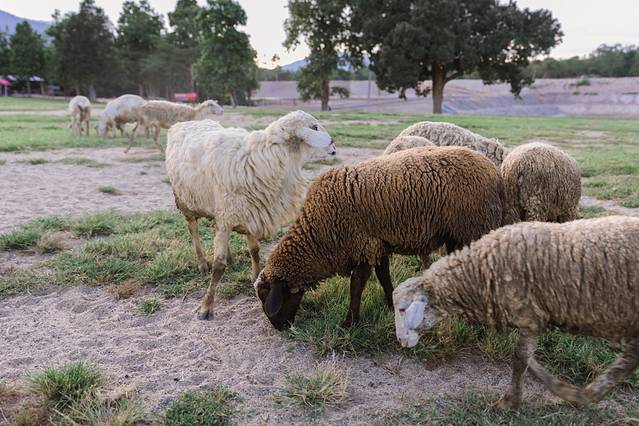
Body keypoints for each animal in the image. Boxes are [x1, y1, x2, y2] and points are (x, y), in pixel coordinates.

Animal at [165, 111, 336, 320]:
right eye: (314, 127)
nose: (333, 146)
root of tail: (189, 122)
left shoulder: (253, 213)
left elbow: (254, 250)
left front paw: (255, 279)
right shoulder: (228, 215)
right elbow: (218, 266)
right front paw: (206, 307)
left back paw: (230, 256)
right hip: (186, 202)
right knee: (194, 231)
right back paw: (202, 263)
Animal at [254, 146, 506, 330]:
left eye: (267, 296)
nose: (279, 328)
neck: (320, 234)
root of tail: (494, 171)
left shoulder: (363, 246)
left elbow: (356, 286)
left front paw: (350, 323)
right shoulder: (378, 245)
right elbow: (384, 277)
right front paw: (390, 305)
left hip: (475, 227)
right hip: (457, 234)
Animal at [393, 216, 639, 410]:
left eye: (403, 309)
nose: (401, 342)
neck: (480, 270)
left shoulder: (529, 316)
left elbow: (519, 358)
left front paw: (510, 401)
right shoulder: (533, 317)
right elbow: (526, 357)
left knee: (628, 360)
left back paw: (579, 395)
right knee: (629, 360)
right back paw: (581, 396)